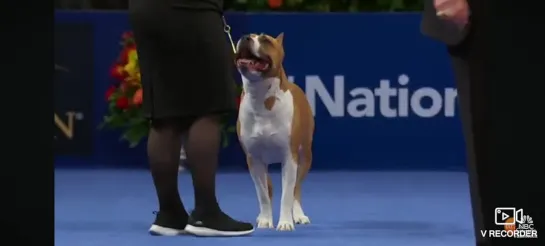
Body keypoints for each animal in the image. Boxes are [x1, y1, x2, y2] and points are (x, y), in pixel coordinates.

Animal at [234, 33, 314, 232]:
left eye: (265, 40)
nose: (245, 37)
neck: (261, 98)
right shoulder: (253, 159)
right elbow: (262, 193)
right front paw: (265, 219)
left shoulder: (290, 158)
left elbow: (287, 194)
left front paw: (285, 222)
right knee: (268, 188)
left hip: (305, 156)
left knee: (296, 188)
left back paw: (298, 215)